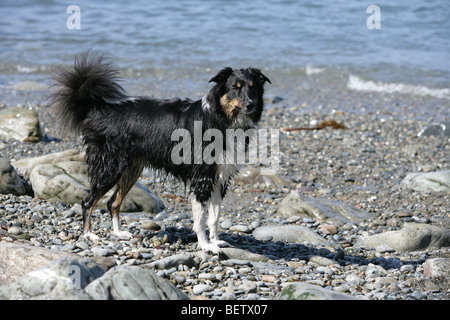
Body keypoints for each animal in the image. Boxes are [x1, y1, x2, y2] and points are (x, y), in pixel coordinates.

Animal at [52, 51, 270, 254]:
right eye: (235, 88)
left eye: (252, 87)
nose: (250, 105)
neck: (223, 119)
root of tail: (99, 110)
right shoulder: (202, 178)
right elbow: (200, 219)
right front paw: (205, 245)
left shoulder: (220, 178)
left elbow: (214, 217)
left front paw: (215, 241)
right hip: (110, 168)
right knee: (87, 201)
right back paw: (89, 234)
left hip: (131, 169)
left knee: (113, 202)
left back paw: (118, 232)